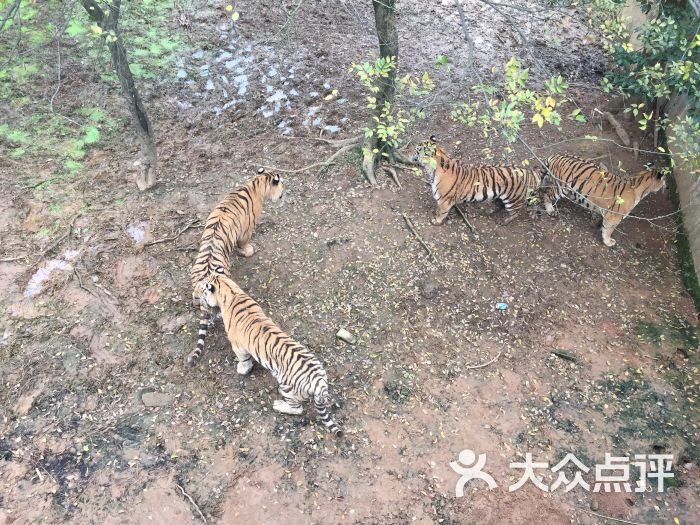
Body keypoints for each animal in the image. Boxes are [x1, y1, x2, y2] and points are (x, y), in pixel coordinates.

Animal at [189, 170, 284, 366]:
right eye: (281, 184)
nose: (283, 194)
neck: (256, 183)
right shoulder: (247, 229)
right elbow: (245, 243)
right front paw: (248, 251)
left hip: (196, 285)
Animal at [200, 268, 342, 436]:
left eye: (203, 290)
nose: (201, 300)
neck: (231, 290)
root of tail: (319, 383)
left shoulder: (238, 346)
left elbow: (244, 360)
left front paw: (242, 369)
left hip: (287, 388)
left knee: (297, 409)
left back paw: (278, 405)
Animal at [412, 136, 544, 224]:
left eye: (417, 149)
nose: (411, 152)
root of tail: (529, 172)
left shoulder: (445, 200)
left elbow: (441, 212)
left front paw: (436, 220)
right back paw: (491, 210)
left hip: (513, 199)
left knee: (516, 212)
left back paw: (506, 220)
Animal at [540, 154, 668, 248]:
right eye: (664, 180)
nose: (666, 187)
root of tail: (556, 155)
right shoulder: (614, 217)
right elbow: (609, 230)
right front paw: (608, 242)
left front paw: (597, 224)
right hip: (560, 188)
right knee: (546, 195)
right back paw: (551, 210)